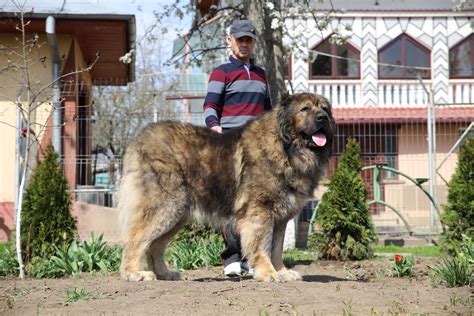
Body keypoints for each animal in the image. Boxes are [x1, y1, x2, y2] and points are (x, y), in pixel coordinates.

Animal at [118, 91, 336, 282]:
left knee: (155, 247)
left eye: (324, 108)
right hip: (165, 208)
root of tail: (138, 141)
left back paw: (164, 273)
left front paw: (281, 271)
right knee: (136, 240)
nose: (323, 118)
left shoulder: (281, 218)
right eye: (305, 109)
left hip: (176, 215)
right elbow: (263, 246)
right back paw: (134, 273)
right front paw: (269, 273)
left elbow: (277, 248)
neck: (287, 147)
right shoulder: (261, 213)